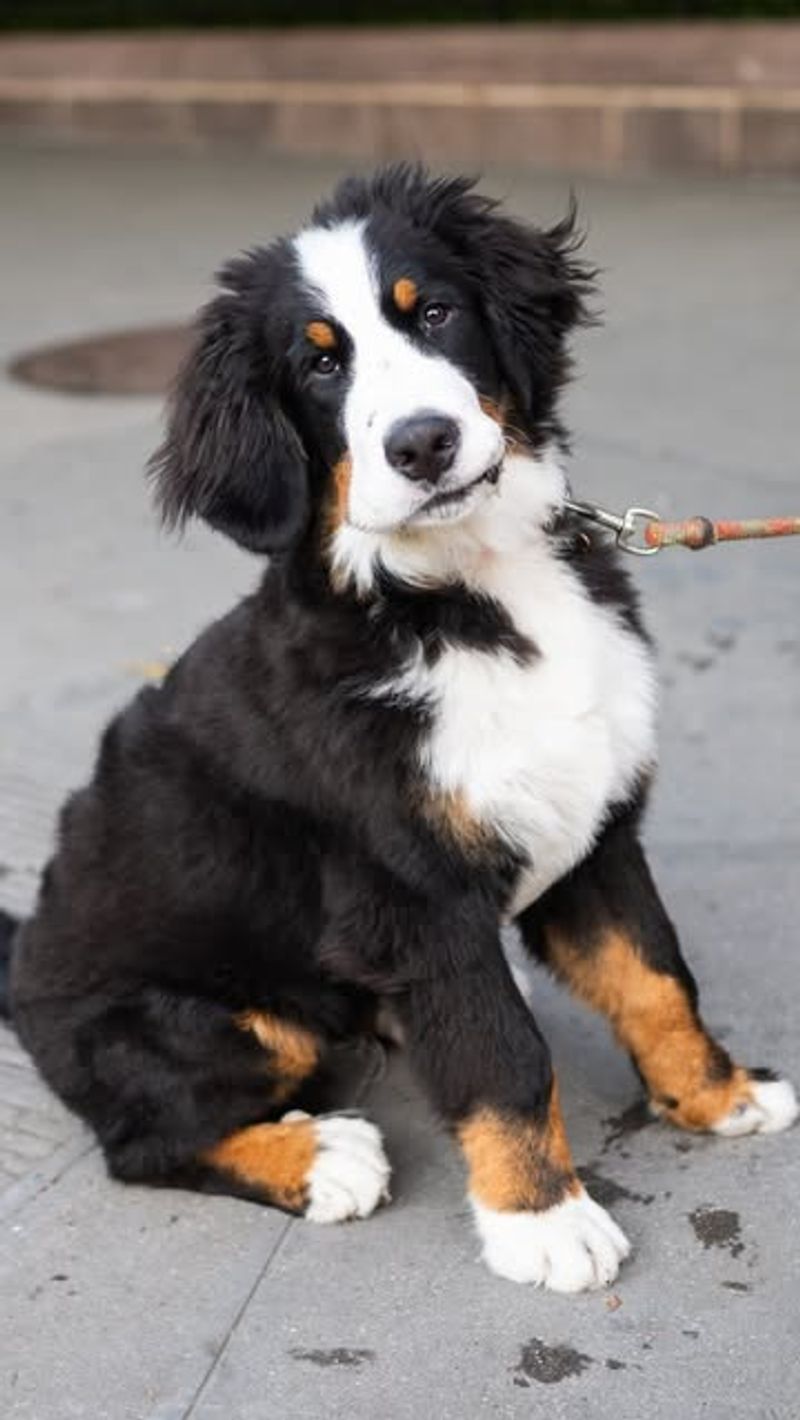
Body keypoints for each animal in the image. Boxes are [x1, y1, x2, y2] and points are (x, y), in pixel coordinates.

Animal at [4, 168, 795, 1300]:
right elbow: (504, 1055)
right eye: (316, 362)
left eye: (434, 312)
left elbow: (654, 976)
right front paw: (542, 1220)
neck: (467, 591)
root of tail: (18, 972)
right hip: (206, 1023)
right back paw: (321, 1155)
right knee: (143, 1142)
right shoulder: (418, 894)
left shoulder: (595, 830)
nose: (421, 443)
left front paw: (719, 1093)